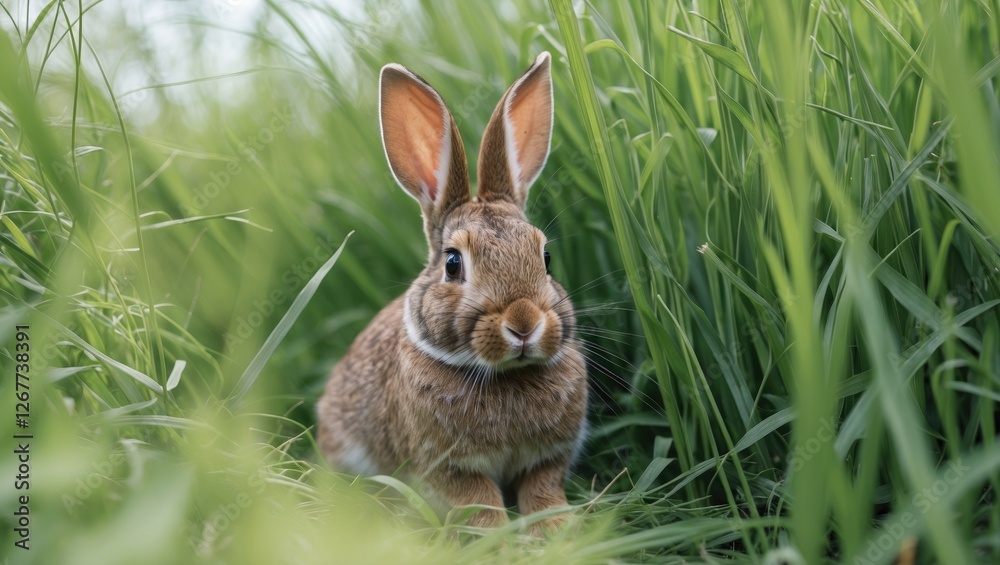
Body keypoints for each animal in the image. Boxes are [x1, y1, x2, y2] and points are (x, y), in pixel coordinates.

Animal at [316, 52, 587, 530]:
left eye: (546, 257)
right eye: (453, 264)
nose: (524, 323)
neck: (505, 376)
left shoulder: (546, 460)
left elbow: (542, 491)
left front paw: (558, 529)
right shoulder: (448, 470)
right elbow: (480, 504)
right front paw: (502, 538)